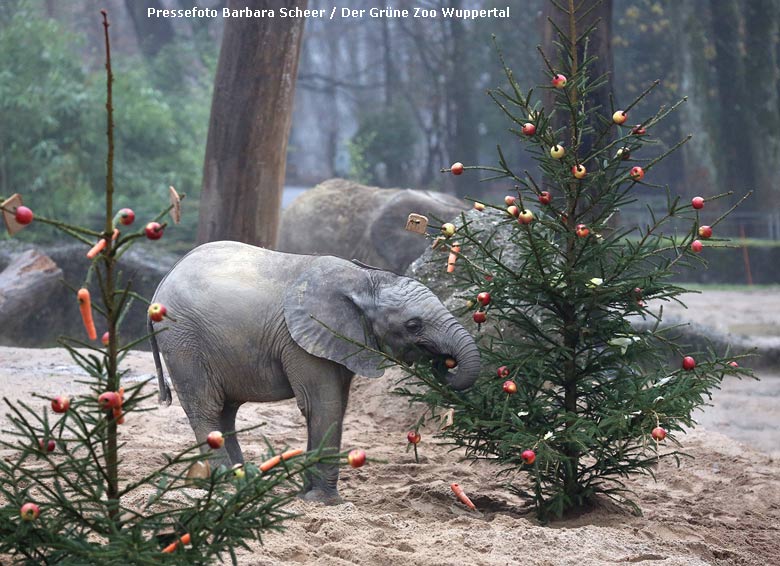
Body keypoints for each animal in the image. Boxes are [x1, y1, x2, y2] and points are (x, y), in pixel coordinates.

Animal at [149, 242, 478, 504]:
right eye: (413, 325)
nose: (444, 362)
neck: (365, 280)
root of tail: (160, 283)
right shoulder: (302, 341)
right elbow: (323, 406)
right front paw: (324, 502)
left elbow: (338, 406)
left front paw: (306, 496)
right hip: (182, 340)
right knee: (207, 408)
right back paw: (225, 485)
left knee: (225, 410)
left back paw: (241, 479)